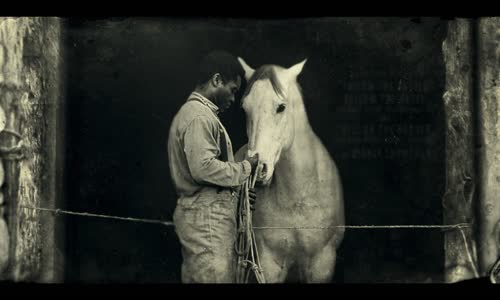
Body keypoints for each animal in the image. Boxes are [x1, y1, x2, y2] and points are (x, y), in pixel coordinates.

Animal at [233, 57, 344, 282]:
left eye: (281, 107)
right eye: (244, 108)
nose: (258, 166)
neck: (297, 200)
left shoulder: (322, 263)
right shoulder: (269, 263)